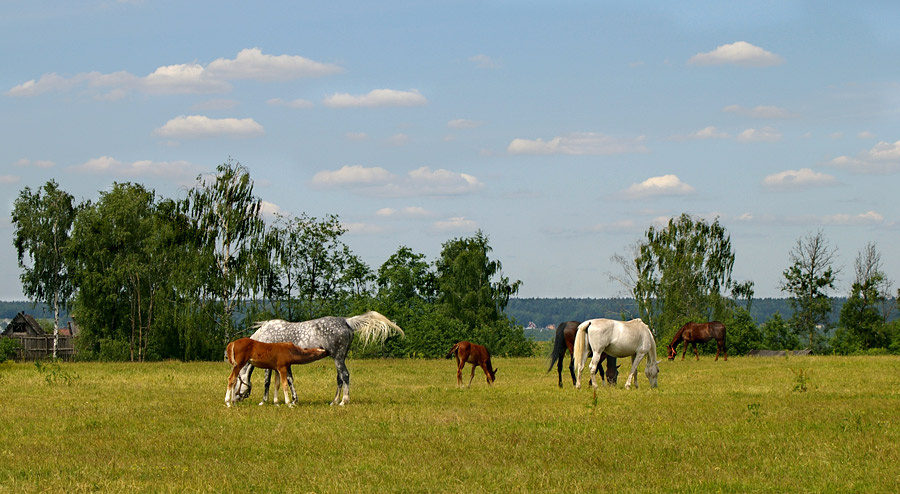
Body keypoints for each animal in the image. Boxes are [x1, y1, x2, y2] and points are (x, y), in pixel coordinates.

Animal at [232, 311, 404, 406]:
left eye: (236, 383)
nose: (234, 400)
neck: (264, 337)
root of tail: (346, 321)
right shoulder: (284, 364)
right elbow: (287, 380)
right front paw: (293, 400)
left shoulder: (269, 363)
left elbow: (267, 381)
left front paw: (264, 401)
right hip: (339, 358)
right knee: (339, 378)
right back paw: (334, 401)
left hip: (338, 357)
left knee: (345, 376)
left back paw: (343, 401)